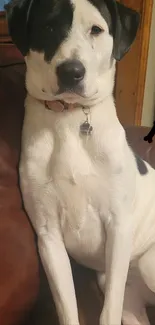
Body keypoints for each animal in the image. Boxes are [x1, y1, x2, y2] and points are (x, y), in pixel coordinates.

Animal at [6, 0, 155, 324]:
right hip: (130, 299)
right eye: (48, 27)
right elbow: (67, 306)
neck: (70, 120)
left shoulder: (118, 227)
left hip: (147, 263)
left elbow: (108, 311)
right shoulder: (49, 238)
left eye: (96, 30)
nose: (71, 72)